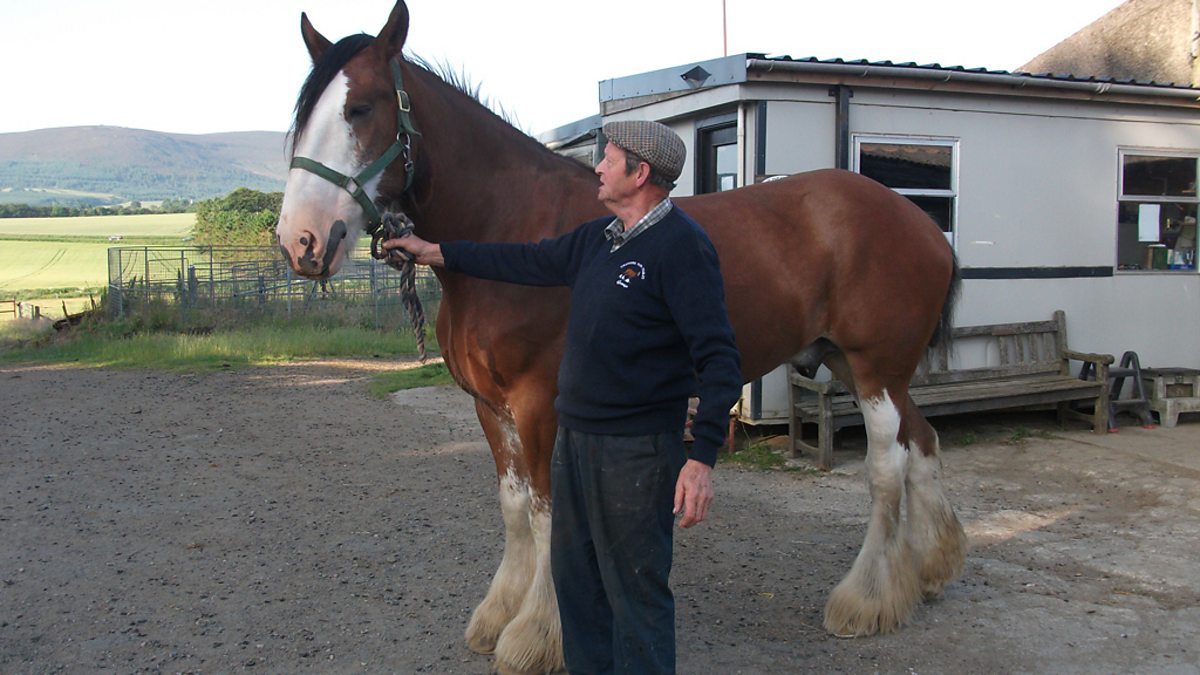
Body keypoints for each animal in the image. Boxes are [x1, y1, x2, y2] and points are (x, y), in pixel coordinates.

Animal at [276, 2, 967, 673]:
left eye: (361, 108)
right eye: (303, 118)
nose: (300, 241)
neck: (510, 225)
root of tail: (918, 220)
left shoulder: (539, 404)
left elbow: (545, 512)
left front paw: (537, 635)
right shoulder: (489, 407)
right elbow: (513, 506)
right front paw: (498, 615)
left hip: (873, 369)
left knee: (886, 469)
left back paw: (866, 601)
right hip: (859, 366)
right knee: (923, 443)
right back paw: (930, 572)